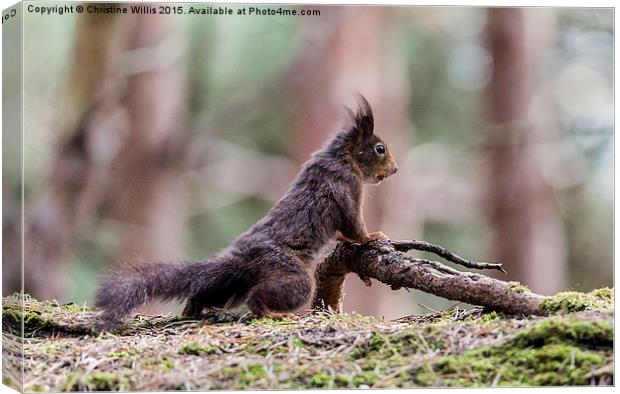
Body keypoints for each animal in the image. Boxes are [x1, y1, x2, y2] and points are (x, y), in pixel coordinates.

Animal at [94, 94, 400, 326]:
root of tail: (241, 259)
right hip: (292, 278)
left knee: (204, 292)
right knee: (257, 298)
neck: (342, 157)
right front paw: (373, 236)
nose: (395, 170)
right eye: (380, 149)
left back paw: (193, 308)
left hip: (231, 286)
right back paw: (272, 313)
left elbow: (342, 233)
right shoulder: (345, 187)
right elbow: (353, 225)